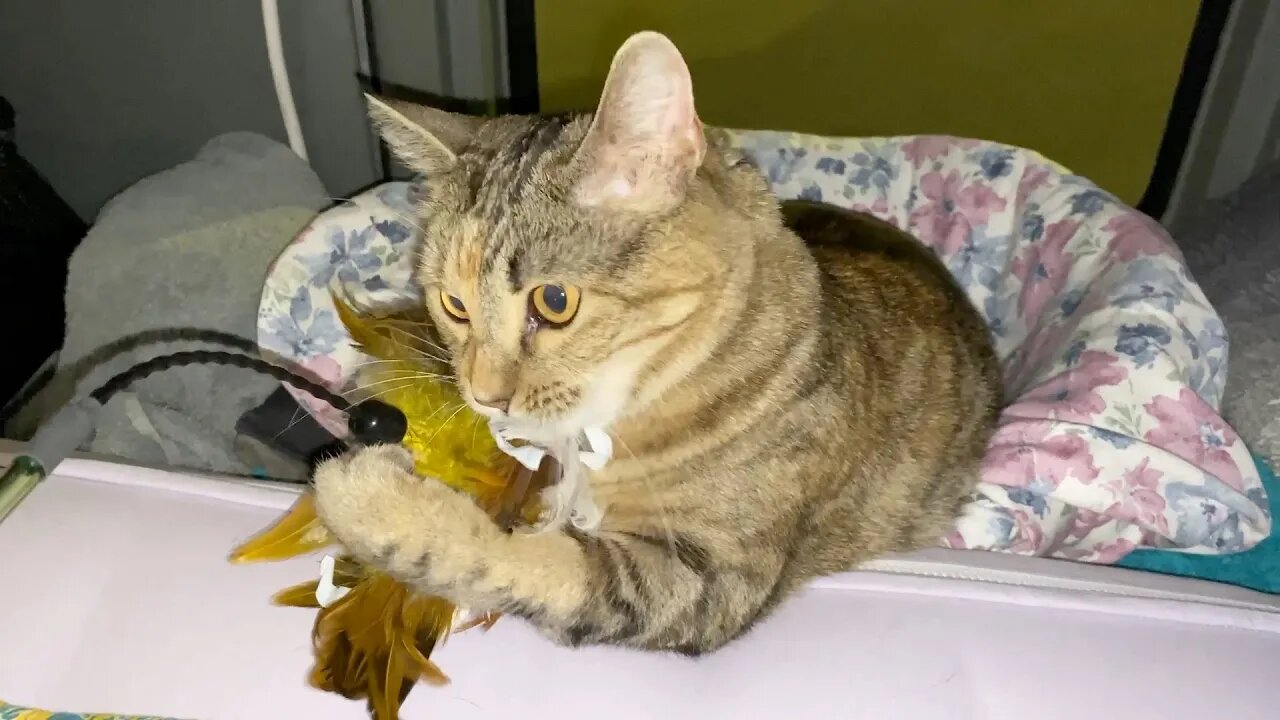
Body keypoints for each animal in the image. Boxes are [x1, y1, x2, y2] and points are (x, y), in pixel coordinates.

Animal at [312, 30, 998, 653]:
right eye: (453, 305)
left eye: (554, 302)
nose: (484, 398)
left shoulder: (703, 575)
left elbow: (538, 560)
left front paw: (376, 502)